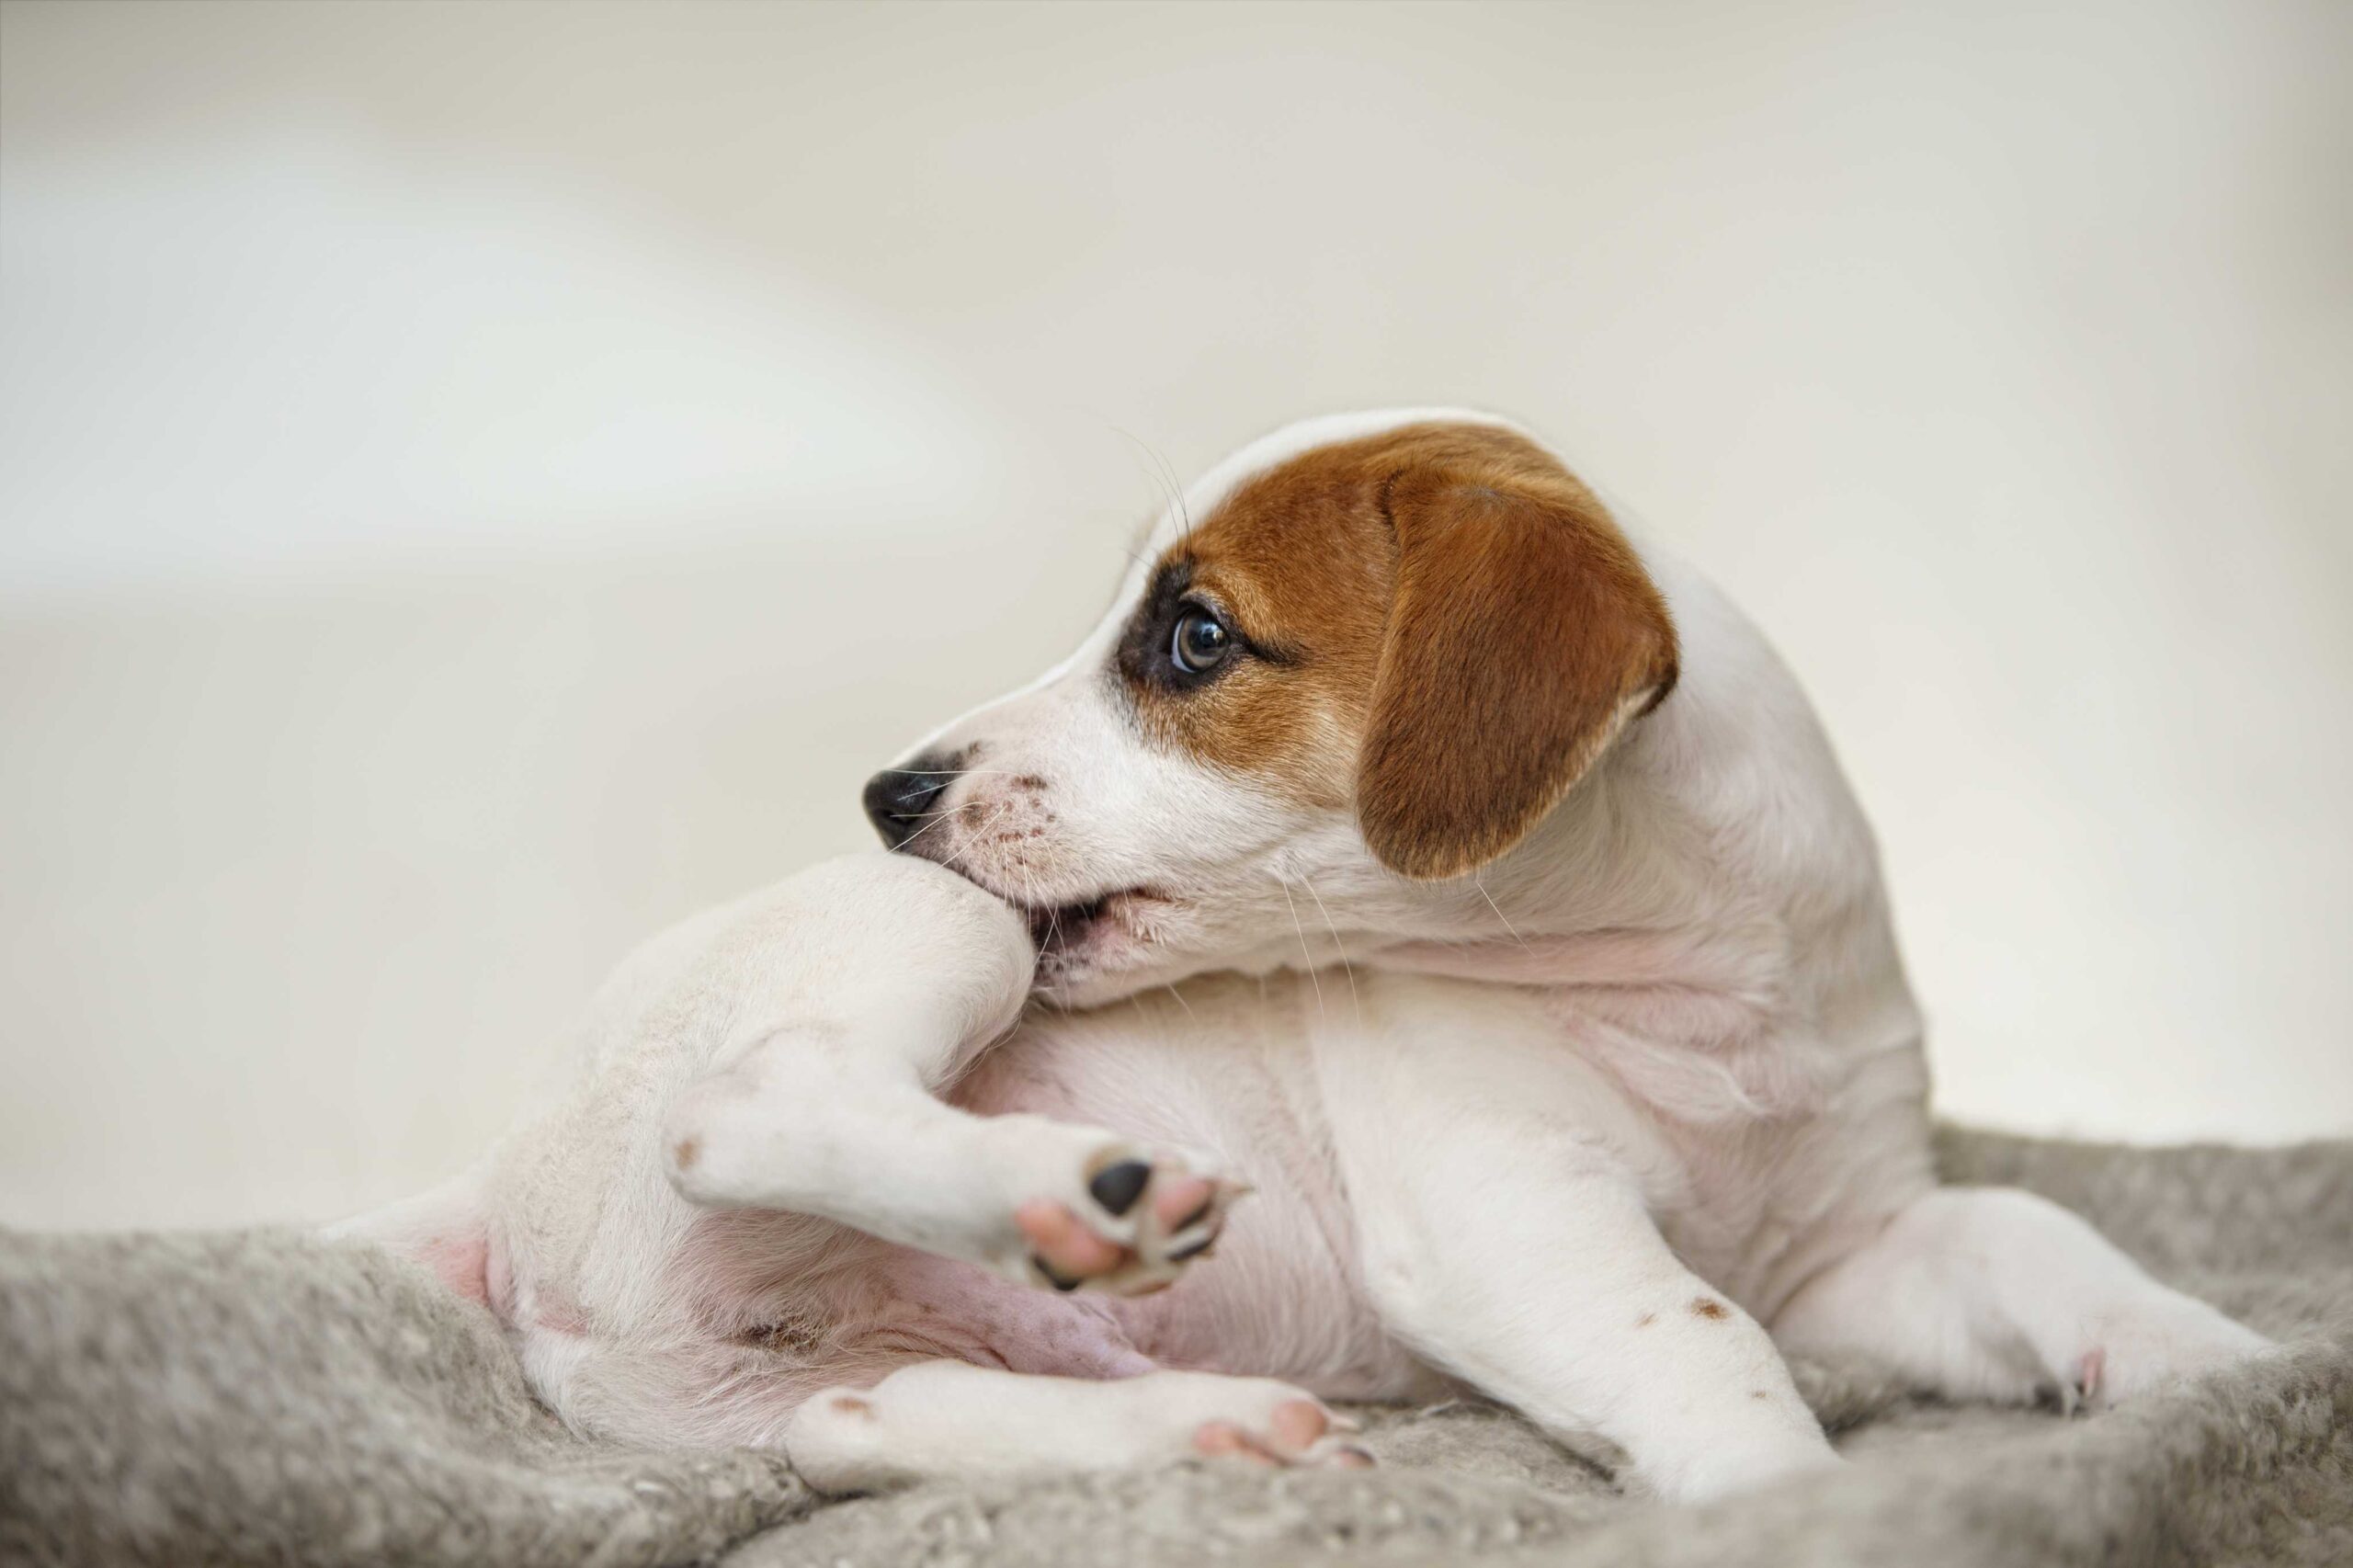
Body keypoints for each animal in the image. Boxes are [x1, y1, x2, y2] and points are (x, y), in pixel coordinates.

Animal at [343, 409, 2258, 1497]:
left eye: (1195, 638)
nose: (890, 793)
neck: (1694, 990)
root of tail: (500, 1178)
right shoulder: (1507, 1219)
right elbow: (1702, 1341)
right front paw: (1796, 1504)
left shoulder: (1848, 1247)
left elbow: (2034, 1234)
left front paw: (2213, 1365)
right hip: (931, 937)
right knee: (746, 1104)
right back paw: (1074, 1193)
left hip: (799, 1378)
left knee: (862, 1430)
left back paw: (1199, 1429)